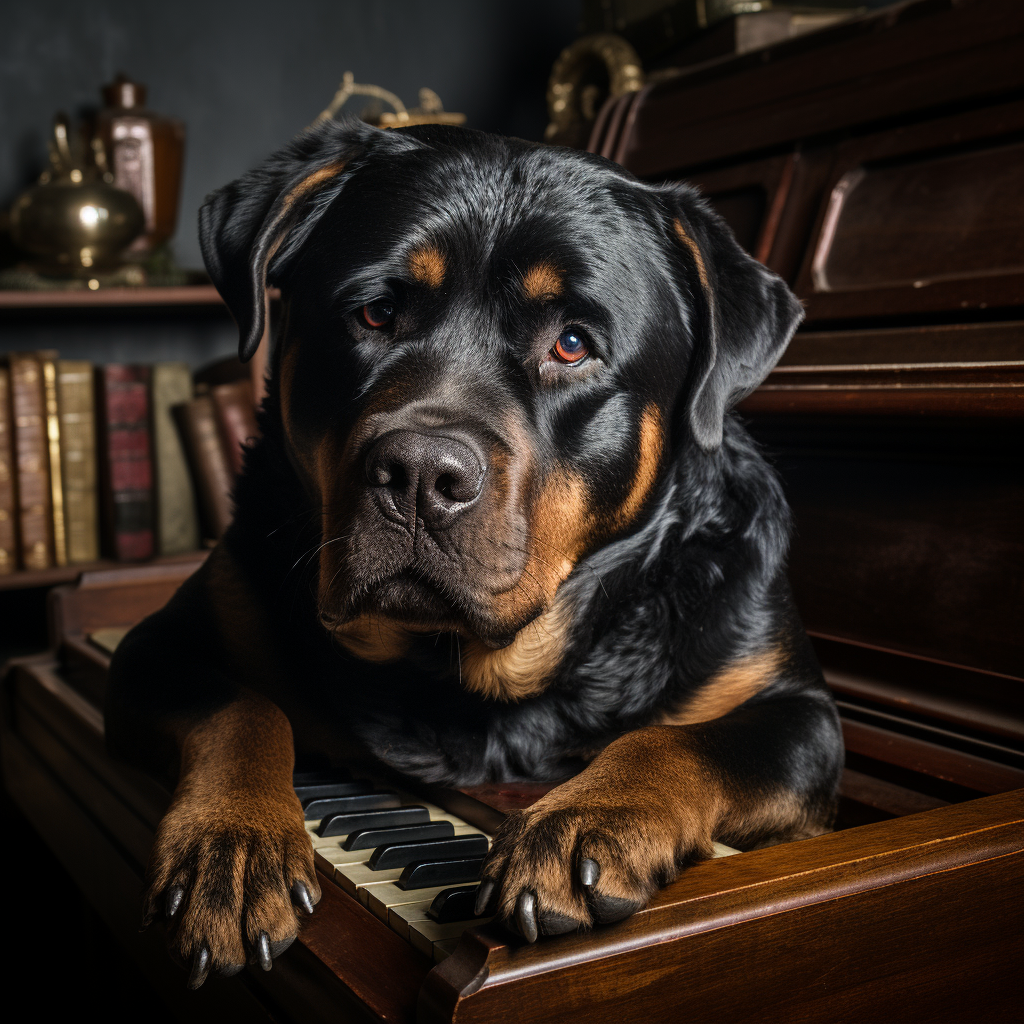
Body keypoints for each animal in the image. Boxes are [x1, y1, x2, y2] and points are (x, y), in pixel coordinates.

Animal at [103, 116, 843, 987]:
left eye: (571, 344)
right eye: (375, 314)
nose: (421, 473)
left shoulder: (800, 714)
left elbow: (682, 738)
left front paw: (588, 818)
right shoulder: (163, 641)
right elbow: (242, 707)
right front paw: (232, 844)